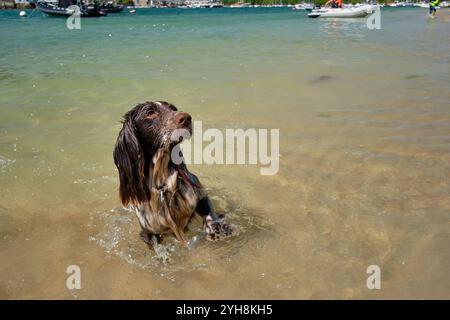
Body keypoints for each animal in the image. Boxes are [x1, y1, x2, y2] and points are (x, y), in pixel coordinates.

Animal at [112, 100, 232, 248]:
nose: (186, 118)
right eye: (150, 113)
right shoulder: (149, 232)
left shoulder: (200, 194)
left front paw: (216, 229)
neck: (163, 183)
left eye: (173, 108)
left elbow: (210, 214)